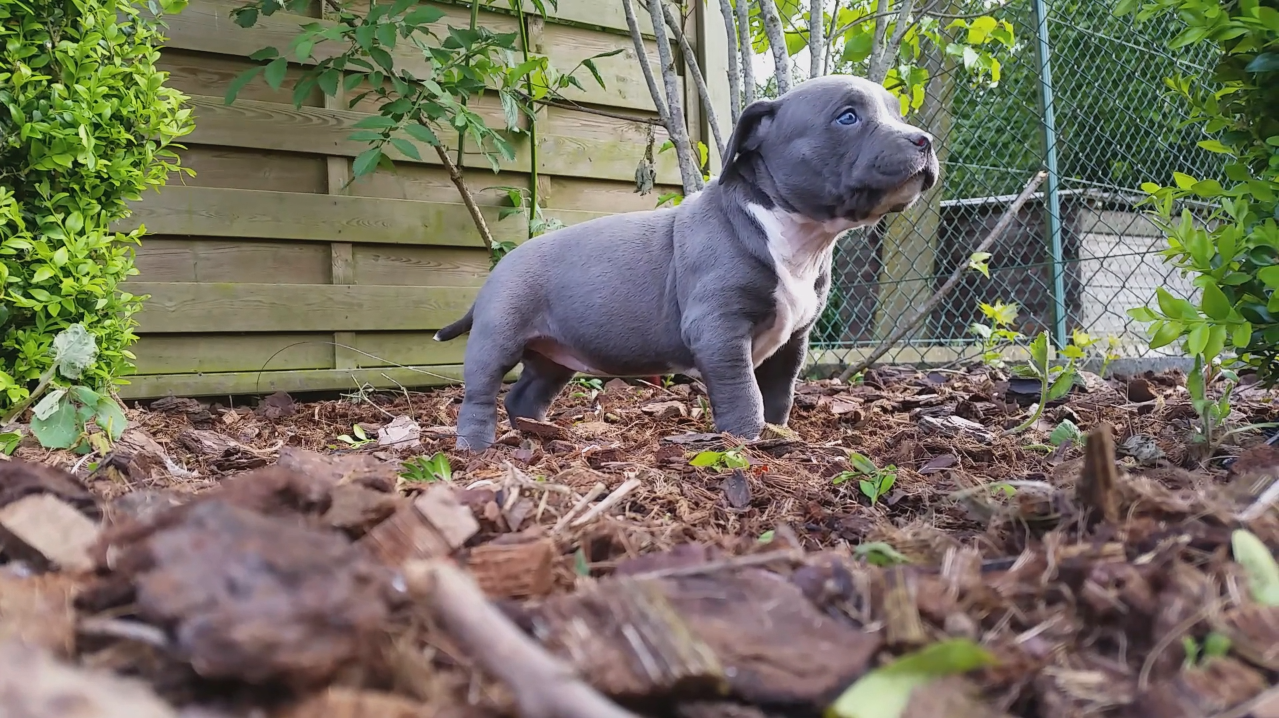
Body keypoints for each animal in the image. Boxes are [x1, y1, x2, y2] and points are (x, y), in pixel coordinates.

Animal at [434, 75, 936, 450]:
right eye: (847, 117)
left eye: (896, 113)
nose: (926, 140)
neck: (795, 234)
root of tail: (500, 267)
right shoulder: (719, 329)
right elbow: (743, 395)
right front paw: (747, 442)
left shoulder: (793, 339)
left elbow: (779, 394)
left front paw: (780, 434)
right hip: (498, 337)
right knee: (481, 393)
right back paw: (476, 447)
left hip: (553, 357)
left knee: (525, 395)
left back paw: (539, 433)